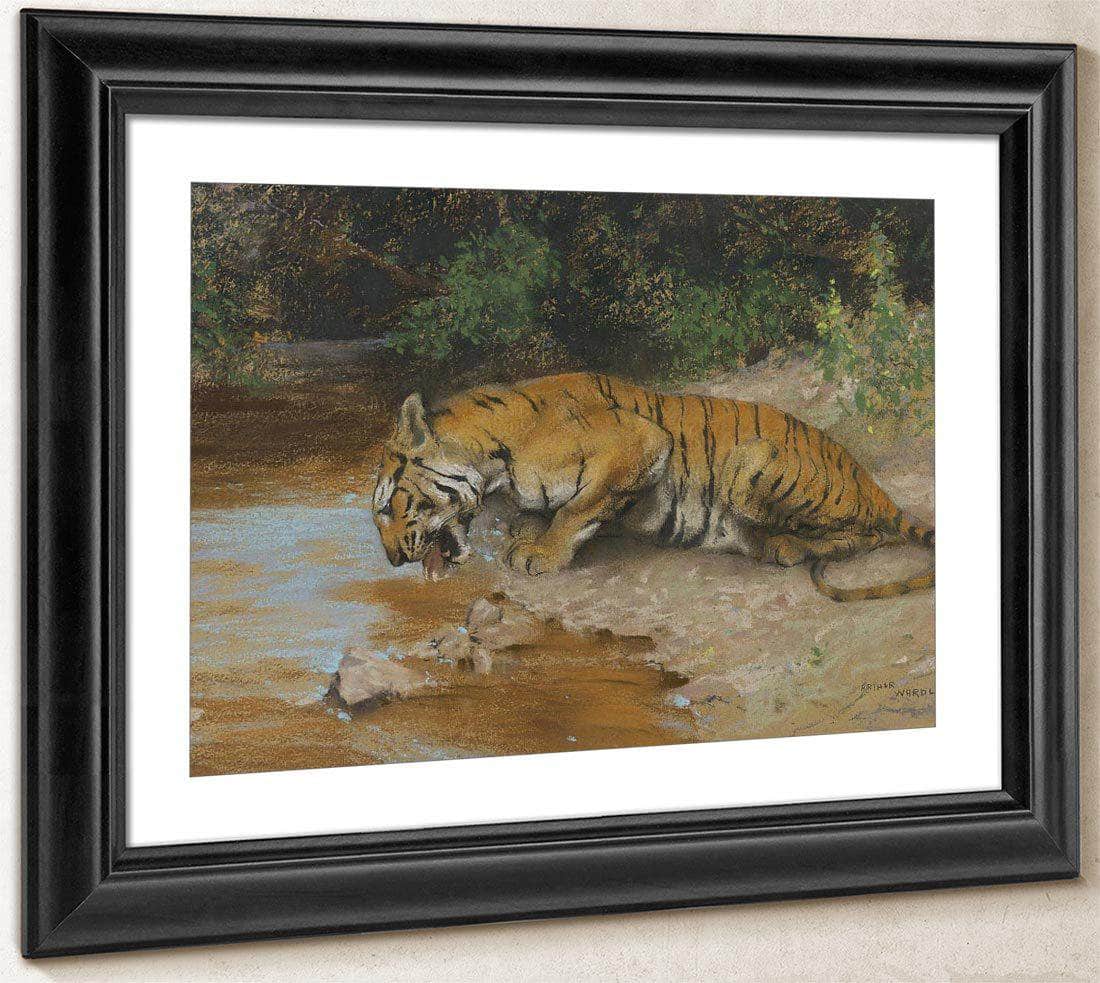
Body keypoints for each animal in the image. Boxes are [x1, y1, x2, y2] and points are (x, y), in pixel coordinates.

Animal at [371, 372, 934, 602]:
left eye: (390, 506)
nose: (394, 560)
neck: (494, 459)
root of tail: (870, 480)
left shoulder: (640, 442)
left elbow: (577, 510)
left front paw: (540, 554)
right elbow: (541, 514)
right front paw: (523, 537)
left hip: (750, 461)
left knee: (866, 534)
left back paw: (787, 546)